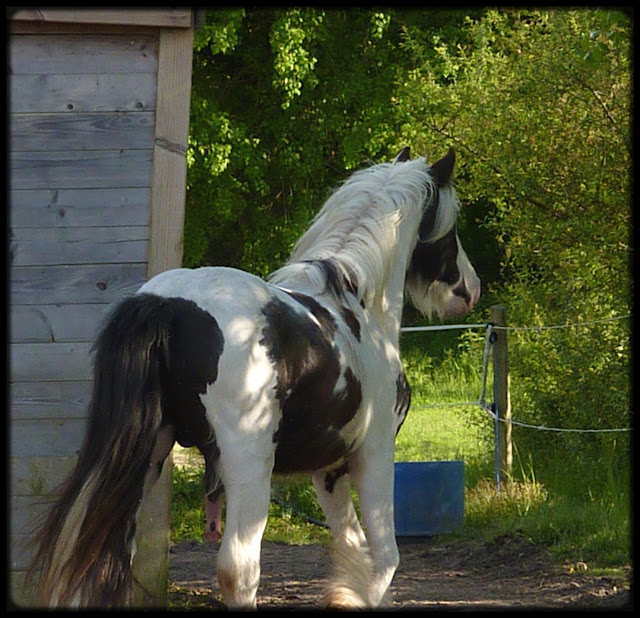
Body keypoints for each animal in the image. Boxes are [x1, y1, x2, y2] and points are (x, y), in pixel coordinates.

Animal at [31, 146, 480, 608]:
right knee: (238, 570)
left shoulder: (328, 471)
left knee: (106, 554)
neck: (357, 306)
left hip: (145, 458)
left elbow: (353, 548)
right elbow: (384, 558)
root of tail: (168, 304)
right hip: (248, 468)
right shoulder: (373, 454)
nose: (470, 290)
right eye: (450, 230)